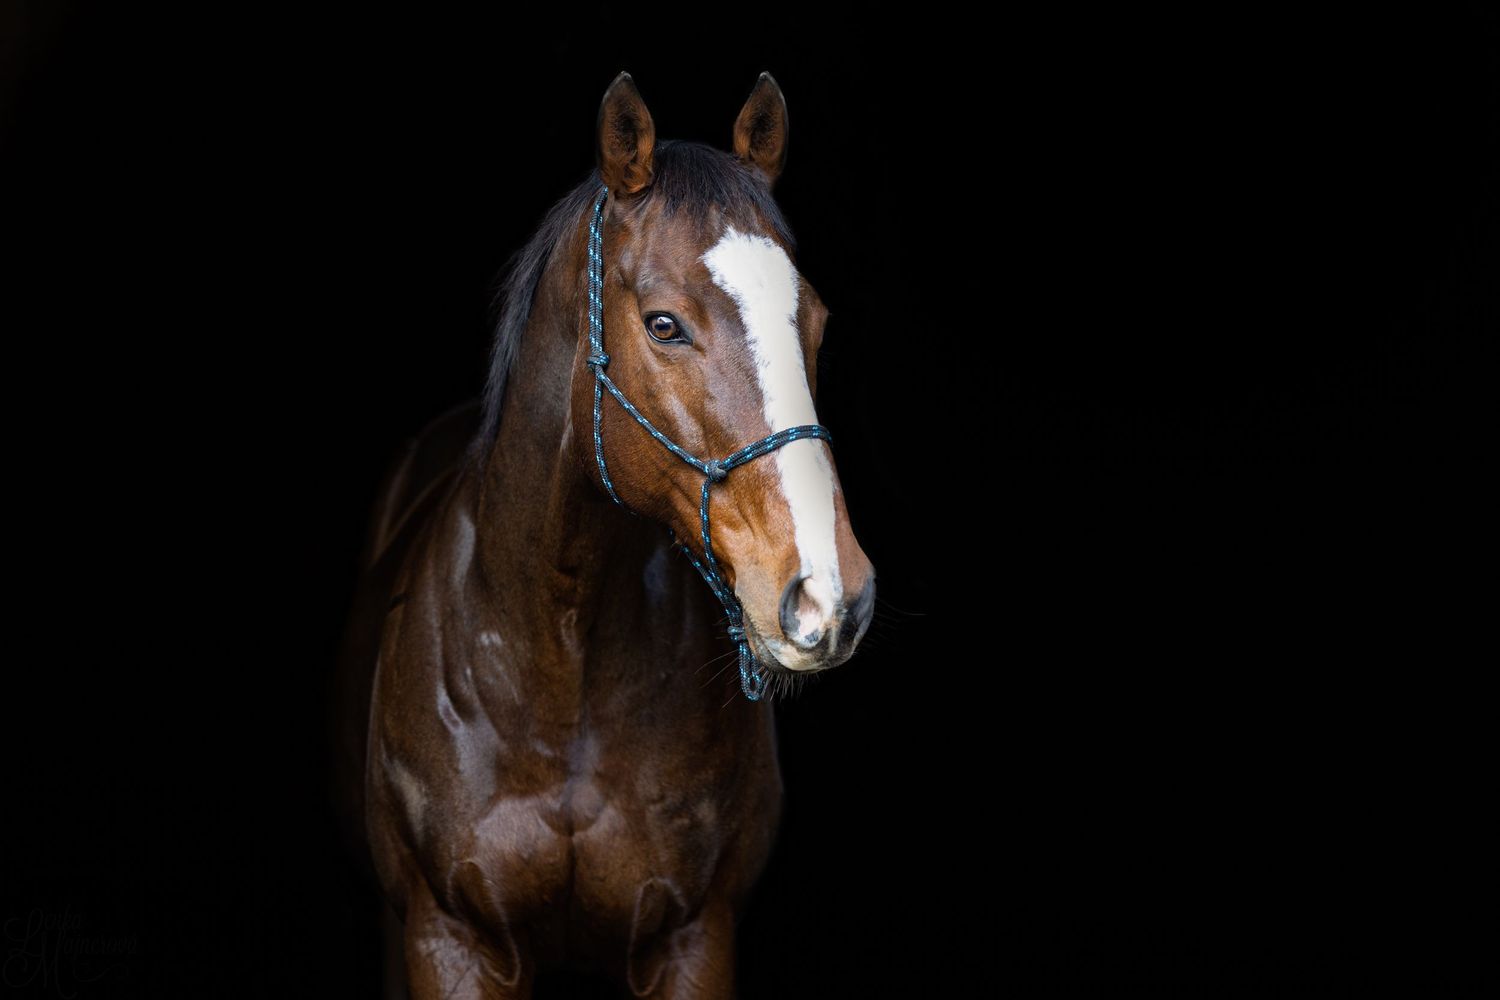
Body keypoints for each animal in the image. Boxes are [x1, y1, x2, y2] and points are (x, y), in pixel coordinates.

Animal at [335, 71, 875, 999]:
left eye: (816, 320)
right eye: (663, 324)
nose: (828, 596)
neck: (561, 663)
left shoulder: (695, 937)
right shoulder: (449, 938)